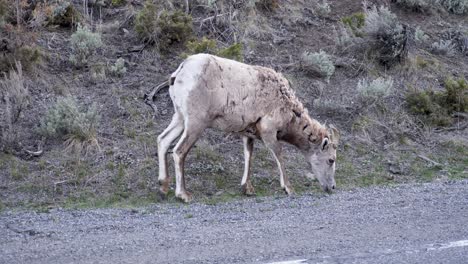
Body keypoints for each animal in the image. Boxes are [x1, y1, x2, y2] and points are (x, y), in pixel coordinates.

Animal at [150, 53, 340, 202]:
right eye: (331, 159)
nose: (332, 187)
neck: (290, 111)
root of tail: (179, 73)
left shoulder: (248, 134)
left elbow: (249, 157)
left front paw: (247, 189)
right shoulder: (269, 132)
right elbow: (279, 156)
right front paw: (288, 188)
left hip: (180, 118)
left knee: (163, 140)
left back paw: (163, 188)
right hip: (196, 123)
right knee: (179, 151)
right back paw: (183, 195)